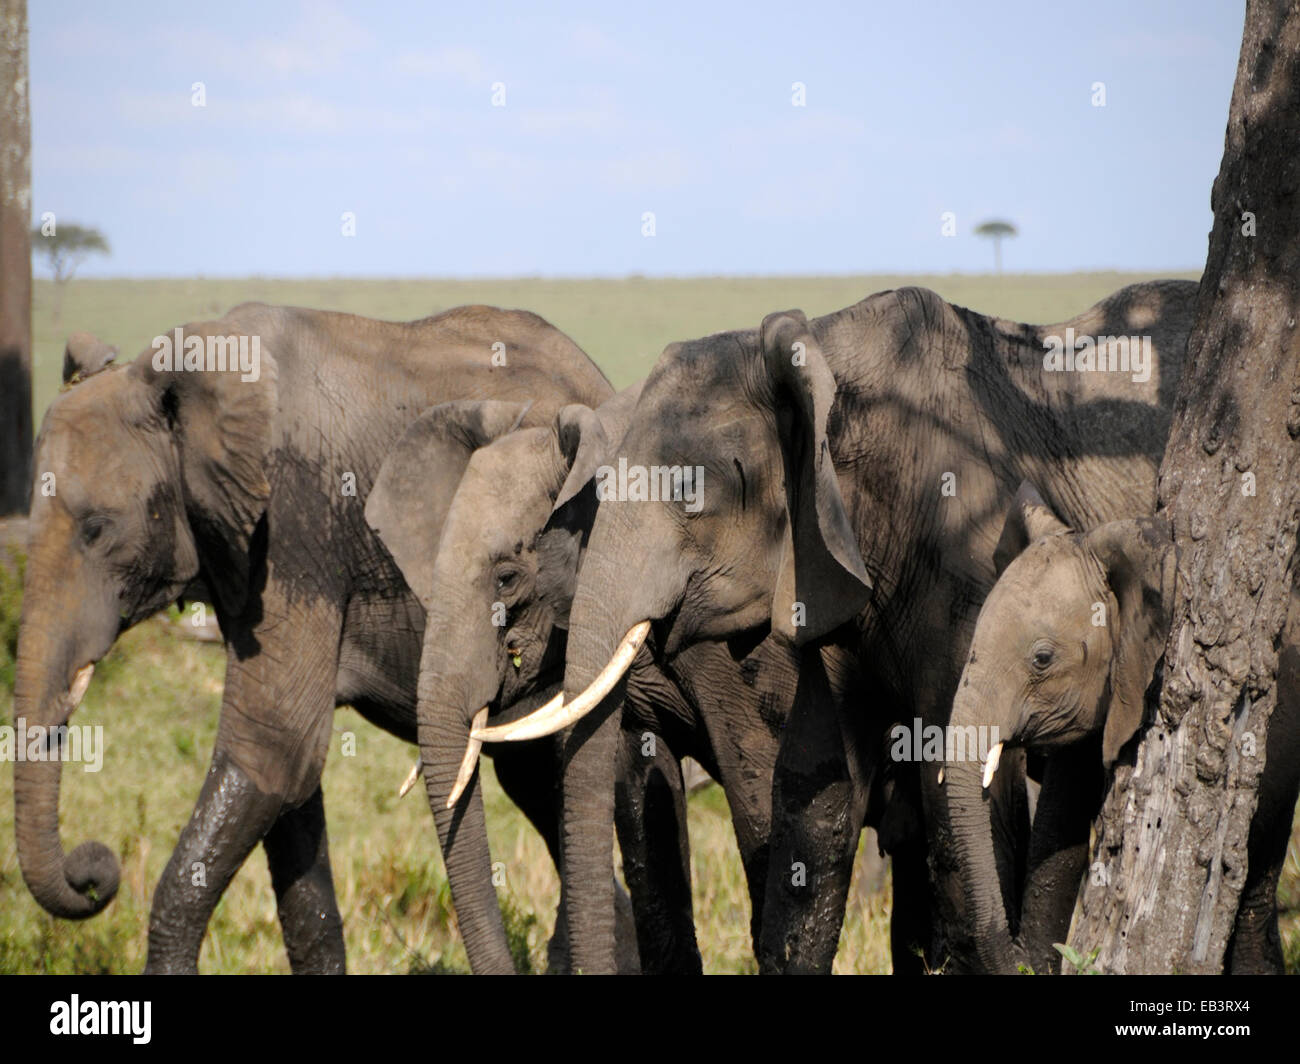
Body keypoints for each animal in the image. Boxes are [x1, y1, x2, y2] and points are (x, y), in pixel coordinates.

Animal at [491, 278, 1201, 974]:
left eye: (691, 496)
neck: (826, 359)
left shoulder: (973, 564)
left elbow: (962, 796)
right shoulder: (828, 571)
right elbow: (815, 792)